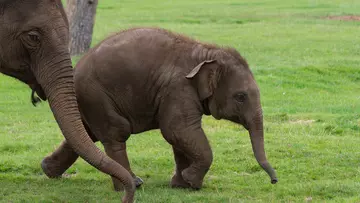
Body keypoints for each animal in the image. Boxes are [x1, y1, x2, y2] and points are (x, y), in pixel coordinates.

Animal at [40, 27, 278, 192]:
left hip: (88, 101)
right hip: (96, 96)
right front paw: (192, 182)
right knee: (115, 133)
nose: (274, 181)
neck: (205, 52)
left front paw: (182, 185)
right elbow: (177, 130)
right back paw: (132, 185)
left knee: (87, 134)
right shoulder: (178, 89)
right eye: (241, 97)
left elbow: (180, 137)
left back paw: (48, 170)